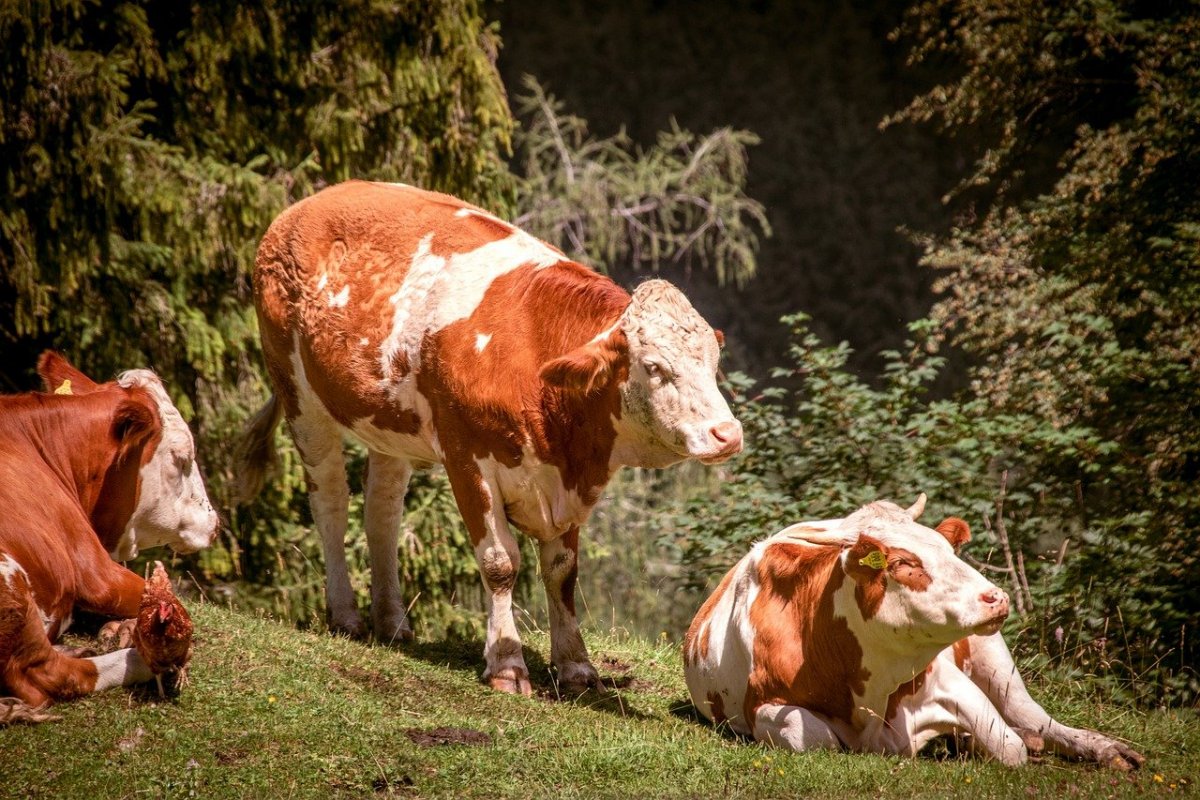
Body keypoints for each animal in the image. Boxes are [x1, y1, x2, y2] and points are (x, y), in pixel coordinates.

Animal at [238, 180, 743, 695]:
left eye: (712, 362)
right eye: (654, 367)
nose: (728, 434)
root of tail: (309, 204)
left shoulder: (564, 479)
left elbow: (562, 571)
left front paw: (576, 666)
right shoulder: (466, 457)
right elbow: (501, 562)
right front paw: (506, 663)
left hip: (387, 423)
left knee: (382, 513)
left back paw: (393, 621)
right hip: (299, 396)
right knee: (331, 502)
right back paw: (345, 616)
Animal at [683, 495, 1144, 769]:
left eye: (950, 550)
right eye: (905, 563)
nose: (996, 597)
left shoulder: (947, 680)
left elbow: (1008, 746)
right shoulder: (764, 706)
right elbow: (814, 737)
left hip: (995, 657)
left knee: (1034, 718)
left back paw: (1103, 748)